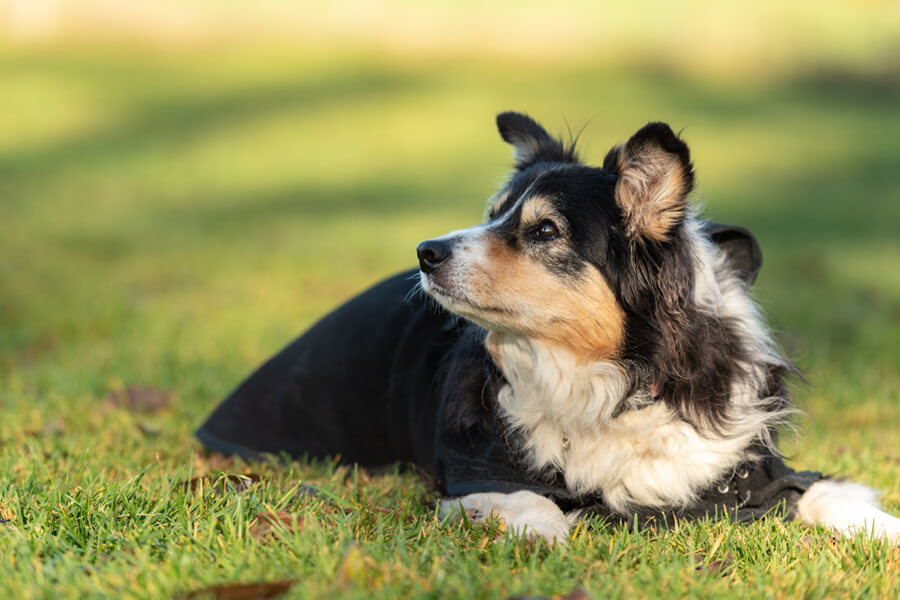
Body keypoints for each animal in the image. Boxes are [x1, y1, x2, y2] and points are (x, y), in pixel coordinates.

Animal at [197, 111, 900, 544]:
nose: (424, 252)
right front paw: (547, 536)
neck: (614, 379)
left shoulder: (752, 466)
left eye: (544, 231)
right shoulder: (476, 469)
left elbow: (830, 491)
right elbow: (531, 502)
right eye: (492, 214)